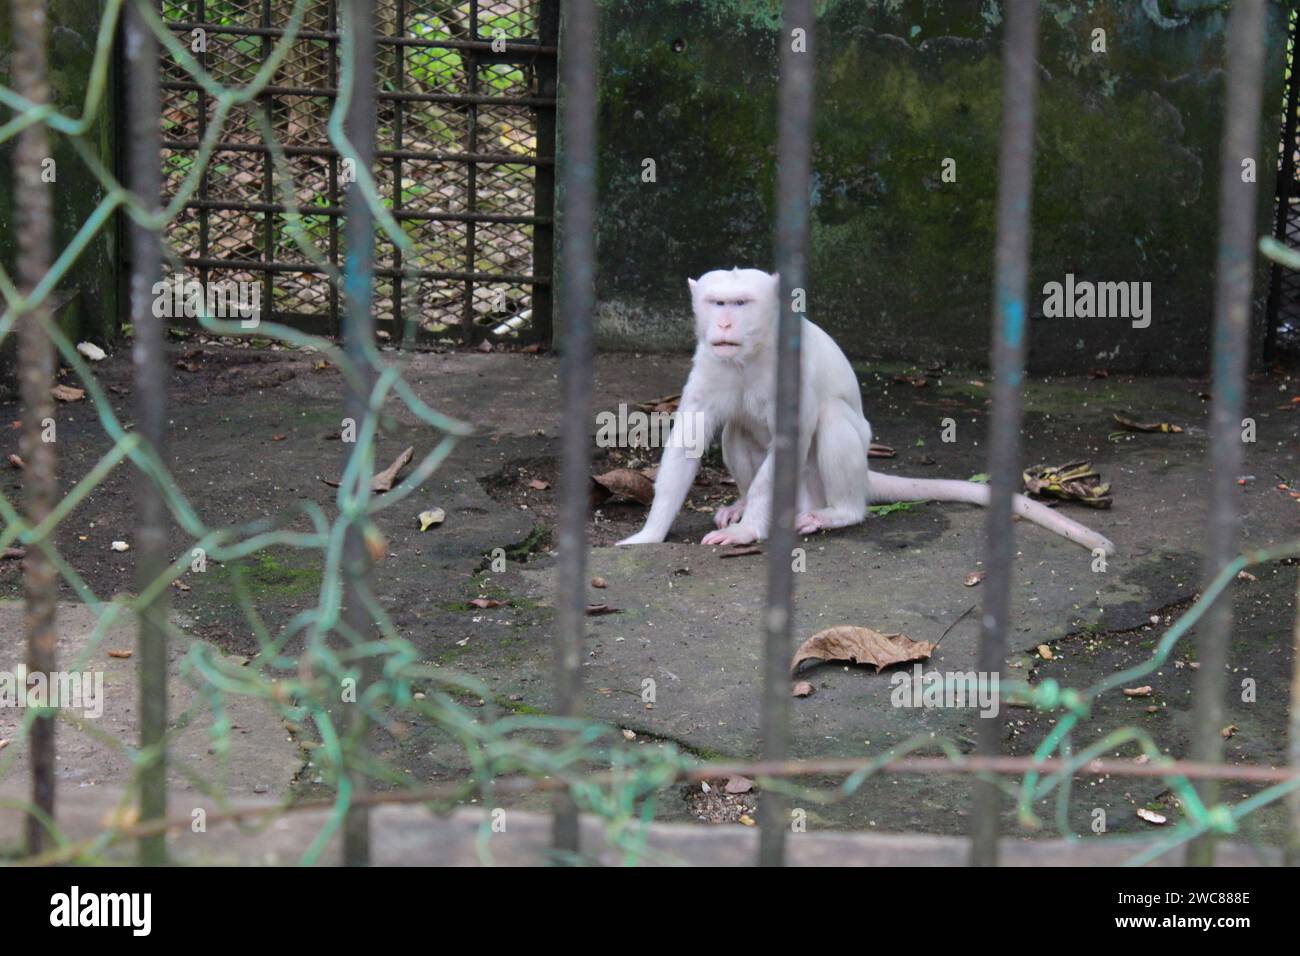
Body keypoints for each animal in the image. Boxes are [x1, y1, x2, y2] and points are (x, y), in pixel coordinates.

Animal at [618, 267, 1118, 554]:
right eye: (716, 303)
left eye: (740, 303)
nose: (723, 324)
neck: (753, 353)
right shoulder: (711, 360)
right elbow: (690, 437)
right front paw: (651, 532)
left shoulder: (793, 368)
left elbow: (795, 436)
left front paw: (746, 533)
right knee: (737, 431)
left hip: (819, 484)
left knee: (832, 421)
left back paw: (840, 513)